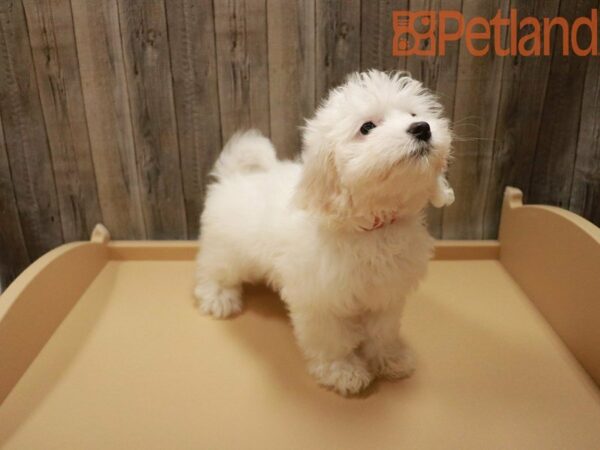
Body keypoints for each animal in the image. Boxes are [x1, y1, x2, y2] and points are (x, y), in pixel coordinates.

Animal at [195, 69, 452, 394]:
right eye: (367, 127)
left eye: (413, 114)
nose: (421, 128)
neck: (371, 226)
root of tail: (236, 175)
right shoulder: (320, 299)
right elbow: (332, 340)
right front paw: (343, 371)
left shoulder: (386, 293)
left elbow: (383, 331)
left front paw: (390, 358)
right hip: (229, 251)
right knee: (213, 268)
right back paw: (218, 297)